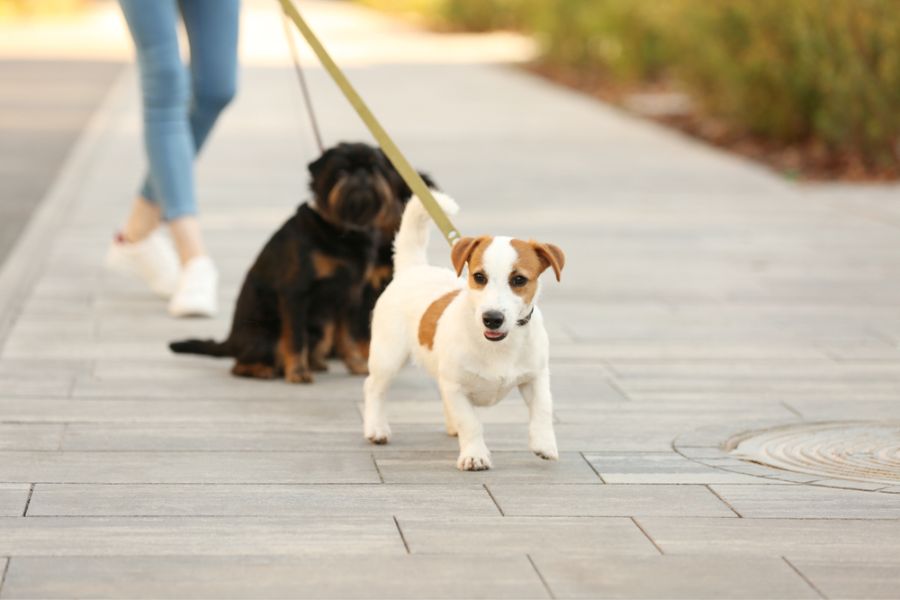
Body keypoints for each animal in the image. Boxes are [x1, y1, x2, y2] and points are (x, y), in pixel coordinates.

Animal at [171, 143, 436, 382]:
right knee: (242, 364)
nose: (362, 174)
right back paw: (262, 369)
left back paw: (316, 363)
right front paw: (298, 372)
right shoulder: (296, 294)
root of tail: (230, 342)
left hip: (321, 328)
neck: (343, 232)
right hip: (269, 337)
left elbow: (348, 337)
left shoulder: (350, 296)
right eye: (340, 172)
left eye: (375, 169)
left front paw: (357, 364)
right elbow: (296, 339)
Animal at [364, 195, 564, 472]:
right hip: (388, 357)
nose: (492, 319)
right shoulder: (456, 388)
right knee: (374, 387)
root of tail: (413, 269)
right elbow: (471, 422)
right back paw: (376, 428)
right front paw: (475, 455)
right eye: (479, 277)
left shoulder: (536, 377)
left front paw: (544, 444)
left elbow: (543, 409)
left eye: (519, 280)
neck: (499, 347)